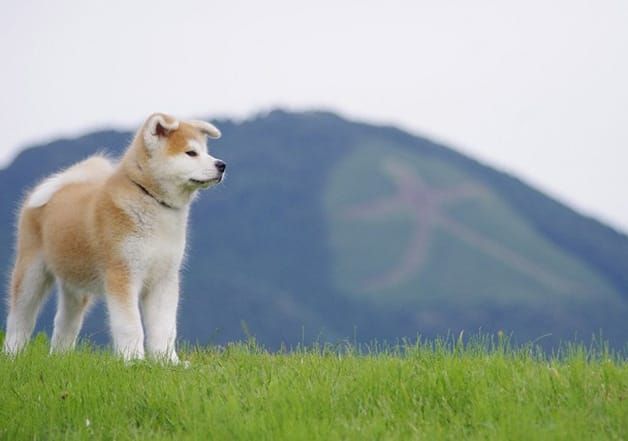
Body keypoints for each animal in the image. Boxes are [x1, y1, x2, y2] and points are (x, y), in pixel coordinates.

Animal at [0, 112, 223, 360]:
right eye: (191, 153)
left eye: (206, 151)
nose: (221, 165)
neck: (151, 200)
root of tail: (63, 183)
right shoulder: (122, 274)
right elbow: (131, 326)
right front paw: (134, 360)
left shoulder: (164, 279)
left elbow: (164, 328)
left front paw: (167, 361)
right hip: (32, 272)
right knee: (20, 319)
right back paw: (12, 355)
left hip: (76, 285)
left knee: (64, 323)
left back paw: (60, 358)